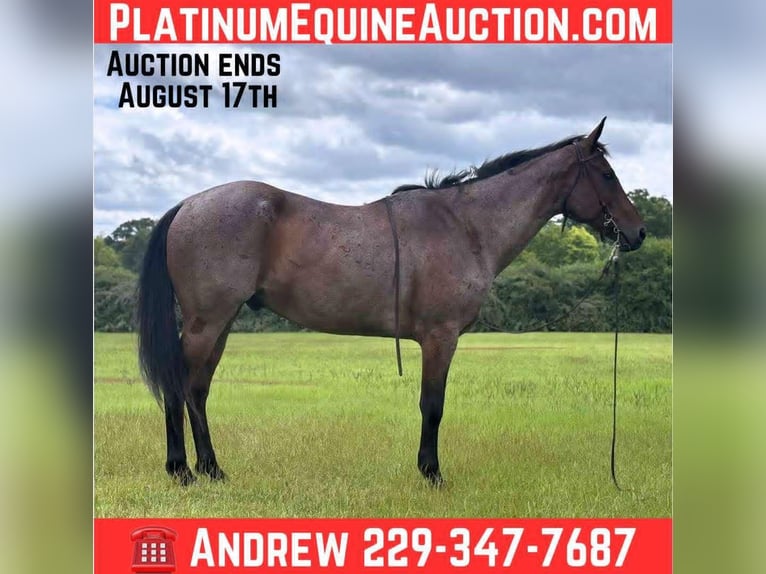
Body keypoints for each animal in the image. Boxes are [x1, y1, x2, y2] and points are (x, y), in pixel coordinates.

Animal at [137, 117, 645, 486]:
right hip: (207, 322)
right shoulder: (440, 338)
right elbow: (432, 405)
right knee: (180, 387)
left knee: (197, 390)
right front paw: (432, 473)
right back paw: (182, 471)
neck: (465, 225)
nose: (637, 232)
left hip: (220, 324)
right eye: (605, 174)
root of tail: (189, 204)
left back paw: (211, 469)